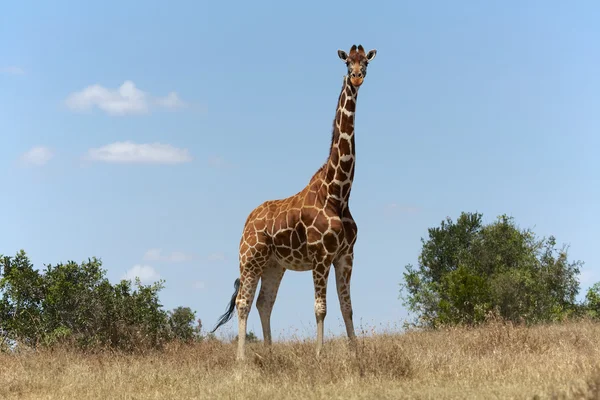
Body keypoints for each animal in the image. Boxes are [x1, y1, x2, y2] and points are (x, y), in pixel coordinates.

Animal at [212, 45, 376, 360]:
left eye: (366, 62)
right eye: (347, 62)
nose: (357, 77)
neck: (338, 193)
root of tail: (247, 220)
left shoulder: (346, 255)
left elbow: (347, 307)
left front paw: (356, 356)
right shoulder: (321, 256)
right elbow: (321, 308)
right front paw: (319, 356)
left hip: (274, 265)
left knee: (264, 303)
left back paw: (269, 354)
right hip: (249, 259)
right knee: (243, 302)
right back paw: (241, 359)